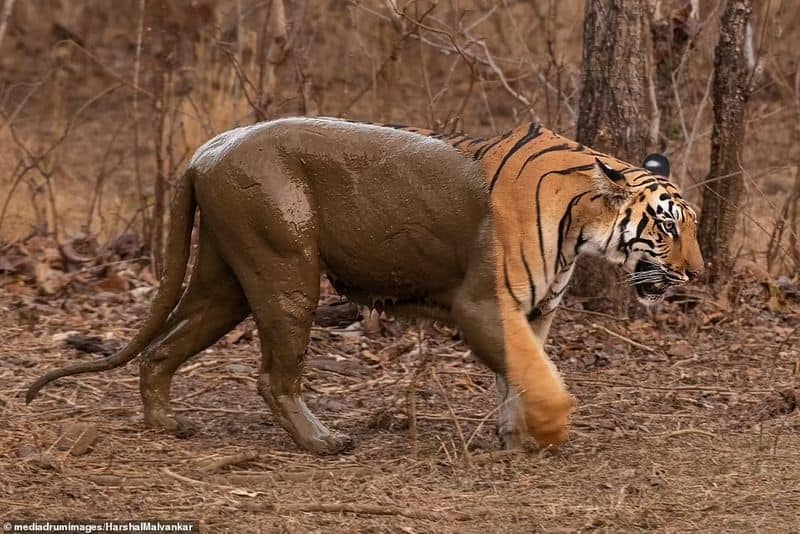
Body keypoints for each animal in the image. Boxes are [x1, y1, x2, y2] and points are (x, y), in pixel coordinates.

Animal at [25, 117, 704, 456]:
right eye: (668, 226)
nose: (699, 274)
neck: (580, 228)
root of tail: (204, 151)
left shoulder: (534, 312)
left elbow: (522, 374)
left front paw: (516, 437)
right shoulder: (484, 304)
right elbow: (541, 376)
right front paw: (551, 432)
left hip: (227, 283)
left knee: (163, 348)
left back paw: (167, 425)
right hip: (286, 272)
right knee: (272, 375)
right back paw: (323, 442)